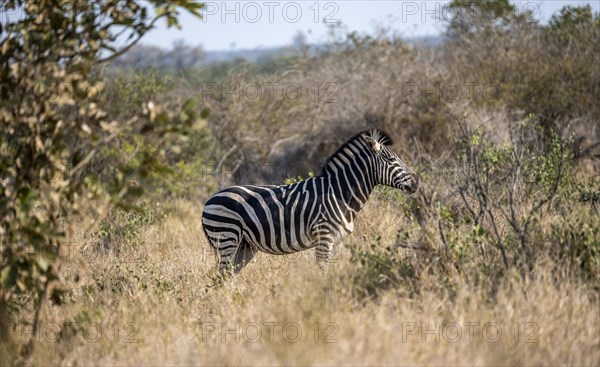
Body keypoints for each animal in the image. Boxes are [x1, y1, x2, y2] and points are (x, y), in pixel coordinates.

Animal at [202, 130, 418, 276]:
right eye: (392, 160)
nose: (416, 183)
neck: (339, 192)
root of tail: (209, 200)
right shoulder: (324, 236)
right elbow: (322, 272)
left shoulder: (335, 241)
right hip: (227, 237)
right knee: (221, 275)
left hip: (244, 246)